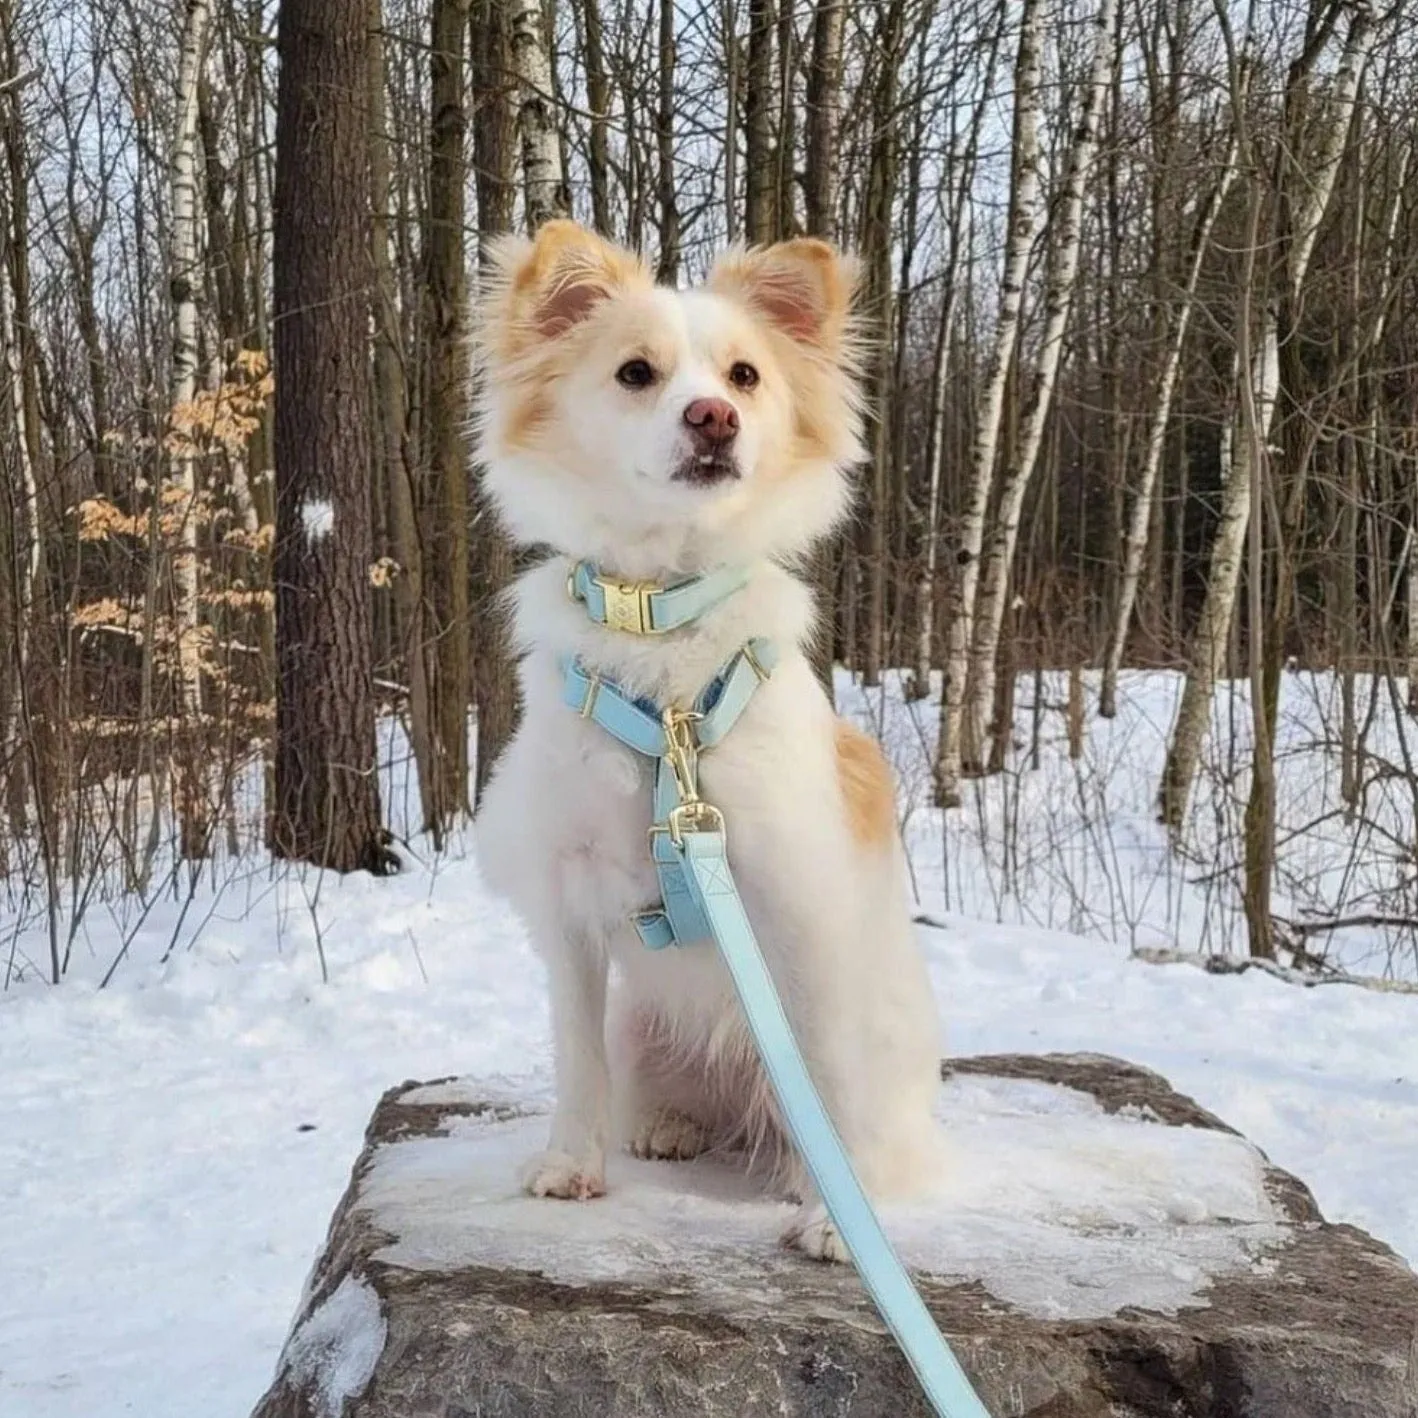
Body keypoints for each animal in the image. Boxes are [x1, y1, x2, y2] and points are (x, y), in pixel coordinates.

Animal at [470, 221, 947, 1264]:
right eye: (635, 373)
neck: (663, 632)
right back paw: (672, 1125)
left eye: (746, 376)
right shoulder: (569, 906)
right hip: (646, 1029)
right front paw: (571, 1165)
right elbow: (574, 1055)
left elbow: (830, 1076)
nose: (714, 418)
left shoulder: (801, 904)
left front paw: (837, 1217)